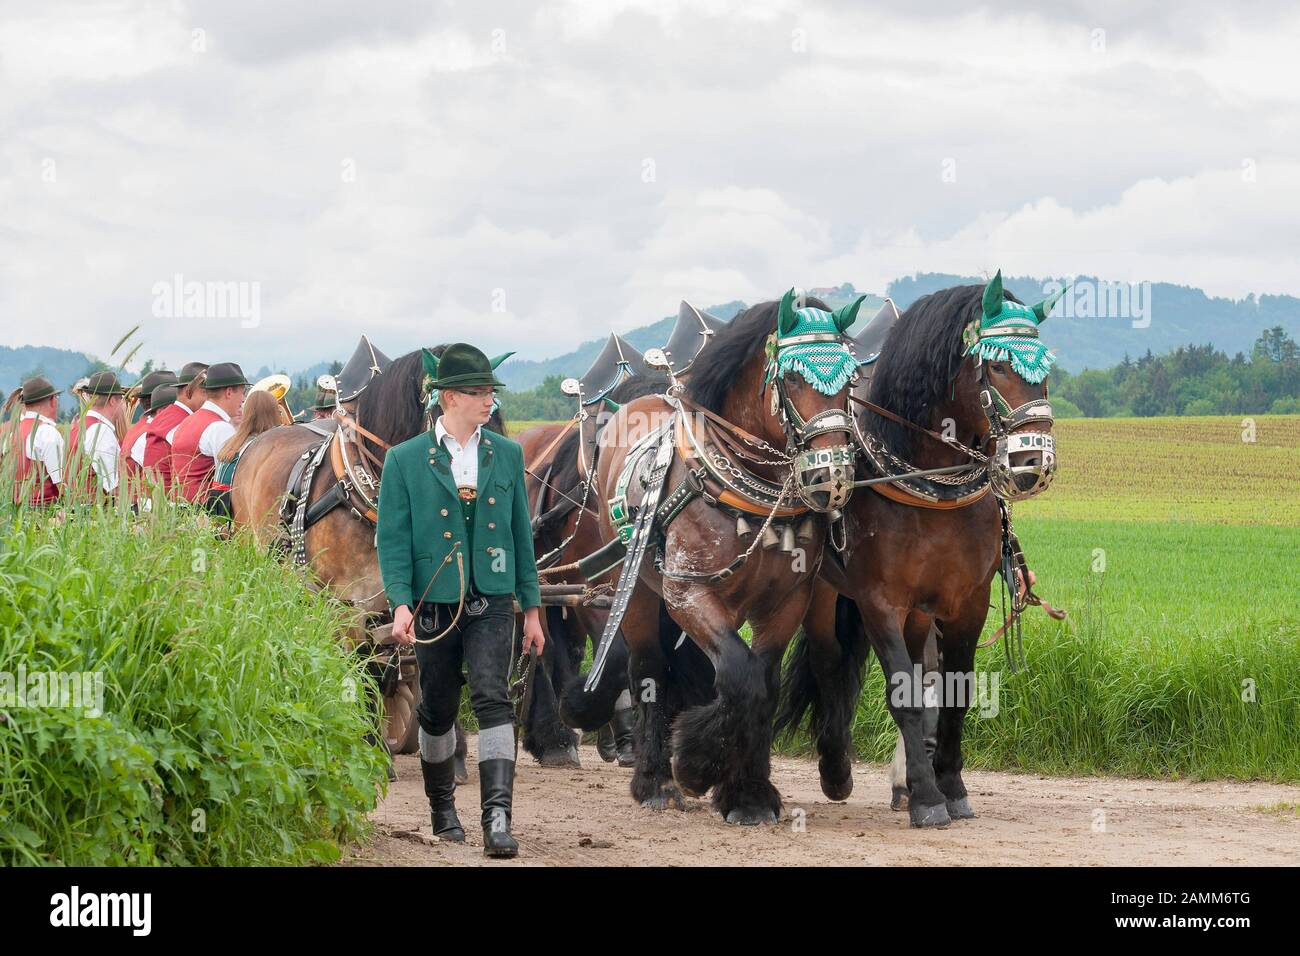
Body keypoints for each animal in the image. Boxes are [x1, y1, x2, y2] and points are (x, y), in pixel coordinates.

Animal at [592, 297, 863, 822]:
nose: (834, 476)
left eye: (851, 379)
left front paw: (748, 792)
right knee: (648, 669)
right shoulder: (687, 590)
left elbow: (763, 682)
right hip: (633, 589)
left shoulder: (787, 601)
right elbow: (739, 675)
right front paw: (696, 768)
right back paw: (655, 780)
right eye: (793, 378)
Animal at [774, 283, 1060, 832]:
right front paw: (928, 798)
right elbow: (902, 694)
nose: (1032, 463)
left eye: (1045, 368)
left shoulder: (965, 601)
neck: (929, 486)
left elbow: (954, 692)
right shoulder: (880, 602)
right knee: (827, 659)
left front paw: (949, 786)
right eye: (998, 366)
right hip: (820, 591)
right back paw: (836, 766)